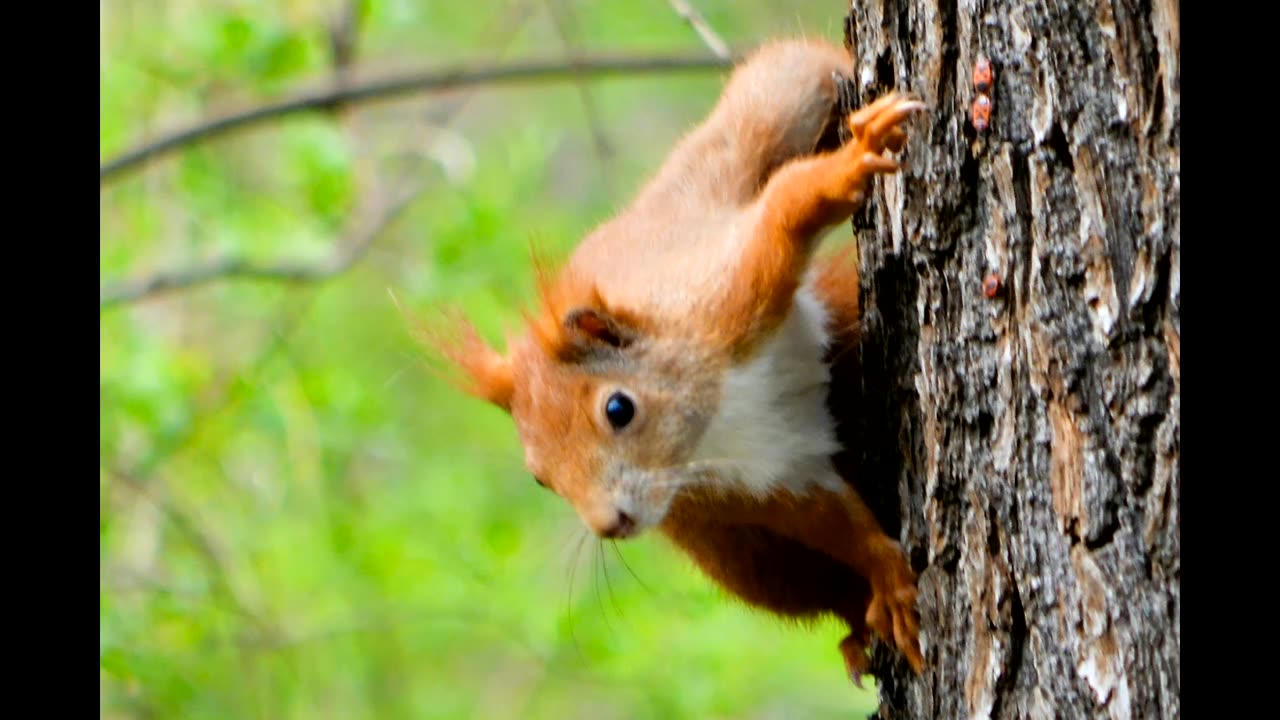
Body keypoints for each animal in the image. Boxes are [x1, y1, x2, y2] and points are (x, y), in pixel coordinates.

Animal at [424, 37, 926, 676]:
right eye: (539, 478)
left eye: (618, 409)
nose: (610, 525)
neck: (713, 421)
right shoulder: (766, 482)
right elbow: (837, 526)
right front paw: (888, 583)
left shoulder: (723, 296)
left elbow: (786, 210)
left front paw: (850, 166)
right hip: (735, 550)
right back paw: (856, 630)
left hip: (757, 134)